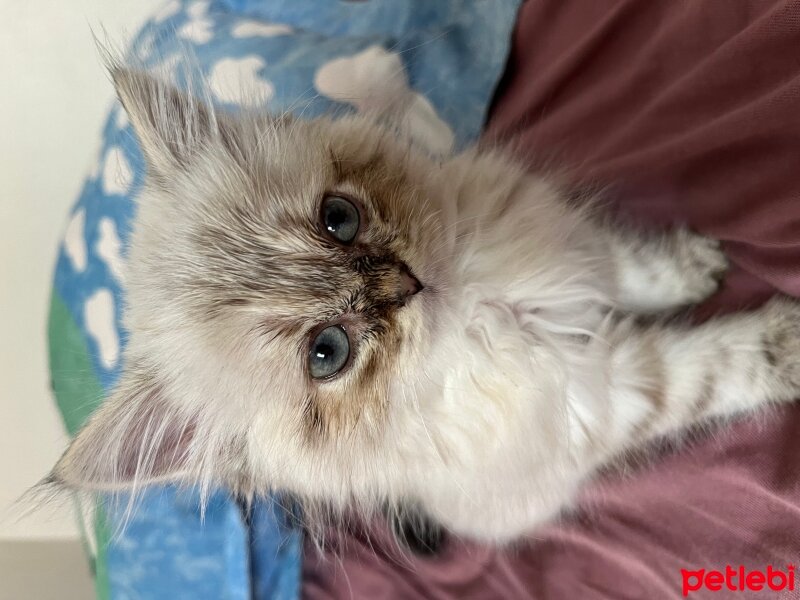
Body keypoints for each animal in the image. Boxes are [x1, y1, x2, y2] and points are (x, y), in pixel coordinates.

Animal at [50, 64, 800, 544]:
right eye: (326, 353)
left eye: (339, 219)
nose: (402, 286)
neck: (484, 303)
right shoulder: (608, 393)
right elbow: (720, 367)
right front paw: (787, 340)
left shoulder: (580, 251)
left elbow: (630, 272)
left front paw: (691, 271)